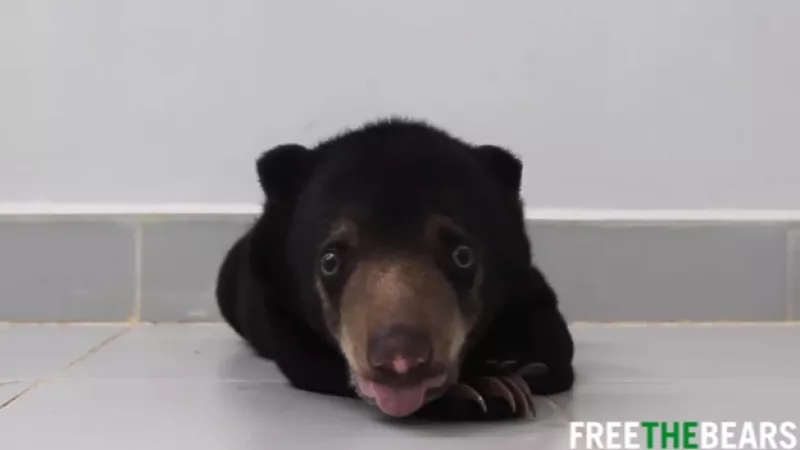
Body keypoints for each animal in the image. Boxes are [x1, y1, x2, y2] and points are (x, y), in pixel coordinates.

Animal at [215, 117, 574, 421]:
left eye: (463, 255)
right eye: (330, 261)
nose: (400, 359)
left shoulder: (525, 285)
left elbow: (554, 344)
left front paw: (511, 369)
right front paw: (484, 387)